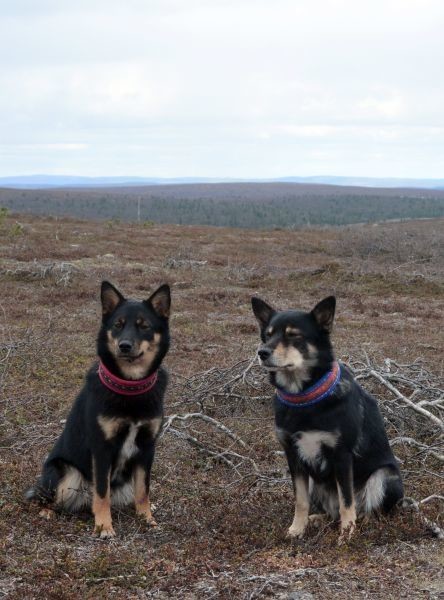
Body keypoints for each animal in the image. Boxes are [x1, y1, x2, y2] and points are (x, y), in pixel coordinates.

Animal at [26, 282, 171, 540]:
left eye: (144, 326)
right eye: (118, 325)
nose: (124, 346)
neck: (130, 388)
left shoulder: (147, 447)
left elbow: (143, 490)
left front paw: (147, 520)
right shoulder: (102, 448)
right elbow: (102, 493)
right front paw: (104, 527)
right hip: (66, 473)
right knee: (49, 498)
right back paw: (47, 512)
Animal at [251, 296, 404, 544]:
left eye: (294, 335)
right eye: (268, 334)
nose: (262, 352)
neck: (305, 397)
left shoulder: (341, 455)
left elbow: (347, 502)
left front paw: (347, 535)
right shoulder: (293, 455)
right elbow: (301, 501)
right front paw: (297, 529)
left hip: (384, 476)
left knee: (368, 509)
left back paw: (365, 523)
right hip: (316, 480)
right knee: (331, 512)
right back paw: (317, 519)